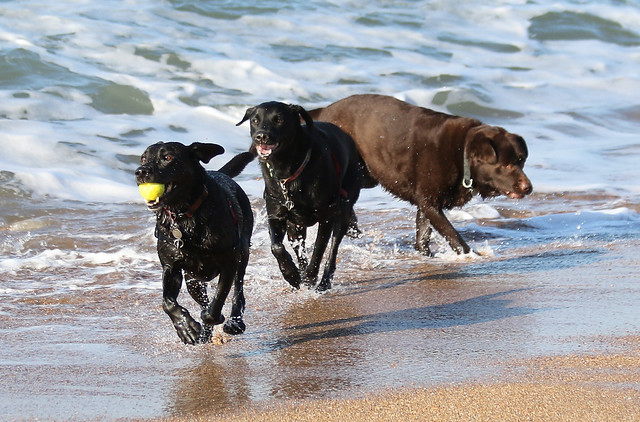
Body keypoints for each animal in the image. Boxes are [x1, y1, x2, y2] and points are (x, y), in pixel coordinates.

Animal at [135, 140, 252, 344]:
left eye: (167, 157)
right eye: (143, 158)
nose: (140, 172)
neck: (184, 214)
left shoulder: (228, 263)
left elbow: (217, 303)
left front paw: (210, 318)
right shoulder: (171, 267)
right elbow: (167, 302)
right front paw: (186, 328)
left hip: (243, 252)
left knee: (238, 290)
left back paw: (234, 322)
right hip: (193, 280)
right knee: (202, 297)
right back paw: (204, 334)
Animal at [236, 102, 364, 292]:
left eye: (279, 119)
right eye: (255, 120)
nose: (261, 136)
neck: (287, 170)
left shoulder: (326, 216)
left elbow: (319, 249)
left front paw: (310, 277)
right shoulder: (276, 214)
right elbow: (276, 246)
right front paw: (291, 275)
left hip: (345, 205)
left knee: (333, 248)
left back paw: (323, 282)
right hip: (294, 226)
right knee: (299, 247)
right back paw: (300, 274)